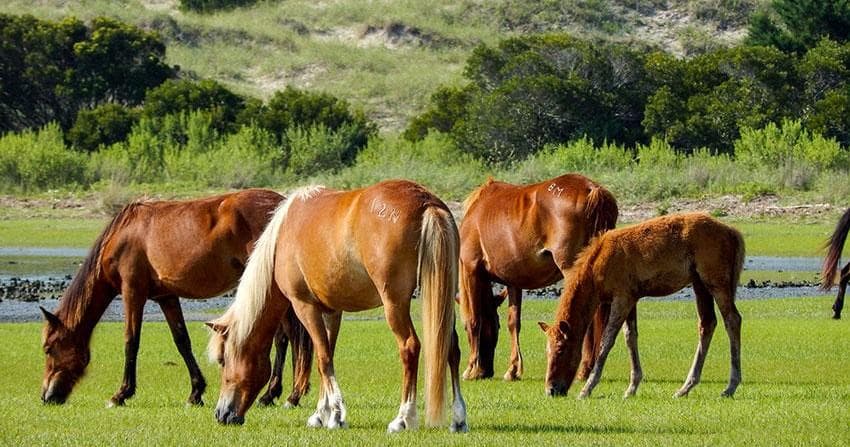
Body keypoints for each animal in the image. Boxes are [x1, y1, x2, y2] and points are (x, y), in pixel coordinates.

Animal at [40, 189, 312, 407]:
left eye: (48, 348)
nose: (47, 397)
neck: (123, 235)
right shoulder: (167, 297)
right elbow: (182, 341)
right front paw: (196, 392)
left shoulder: (132, 293)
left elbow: (131, 341)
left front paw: (121, 394)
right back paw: (278, 394)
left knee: (285, 337)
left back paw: (283, 395)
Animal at [207, 180, 468, 433]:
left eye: (223, 360)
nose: (221, 414)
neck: (282, 236)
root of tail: (426, 202)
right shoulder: (332, 312)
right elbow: (327, 356)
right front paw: (320, 414)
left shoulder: (305, 307)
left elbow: (322, 358)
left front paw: (335, 415)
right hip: (443, 300)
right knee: (451, 349)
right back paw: (458, 419)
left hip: (394, 304)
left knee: (410, 347)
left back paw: (403, 418)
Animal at [458, 174, 621, 381]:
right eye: (496, 326)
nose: (486, 371)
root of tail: (592, 189)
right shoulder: (513, 281)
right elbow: (514, 322)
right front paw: (512, 369)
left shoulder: (470, 269)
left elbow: (474, 319)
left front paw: (470, 369)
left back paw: (584, 369)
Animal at [539, 212, 744, 399]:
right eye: (546, 351)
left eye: (561, 349)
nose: (551, 390)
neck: (597, 265)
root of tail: (732, 232)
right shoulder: (632, 298)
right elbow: (630, 337)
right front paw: (631, 387)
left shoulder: (621, 298)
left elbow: (607, 340)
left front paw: (587, 388)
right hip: (699, 284)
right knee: (707, 323)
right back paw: (685, 387)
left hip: (716, 281)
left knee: (732, 320)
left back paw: (730, 386)